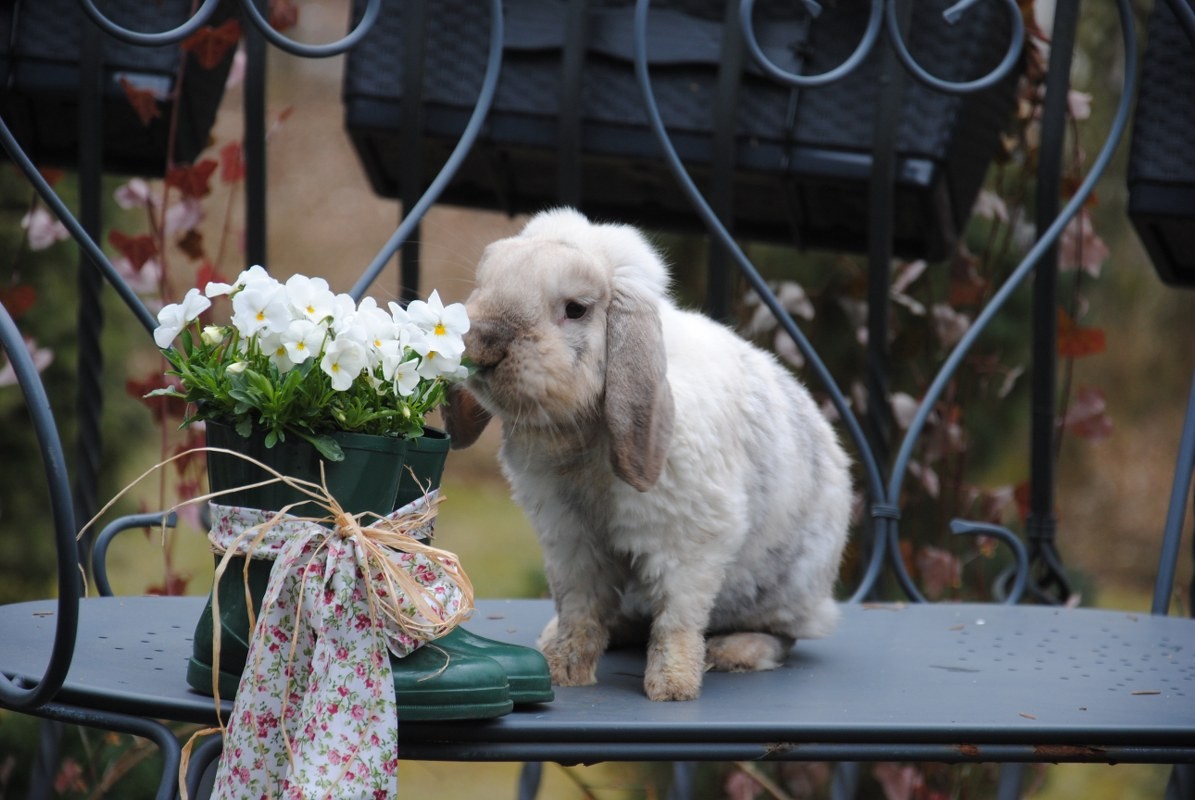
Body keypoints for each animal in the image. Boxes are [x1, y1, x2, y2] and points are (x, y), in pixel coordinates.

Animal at [446, 208, 850, 698]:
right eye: (483, 285)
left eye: (576, 308)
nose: (482, 345)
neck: (585, 432)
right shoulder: (570, 540)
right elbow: (579, 611)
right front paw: (564, 670)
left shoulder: (690, 546)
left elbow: (678, 620)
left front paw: (672, 687)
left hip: (784, 589)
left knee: (781, 636)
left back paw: (733, 651)